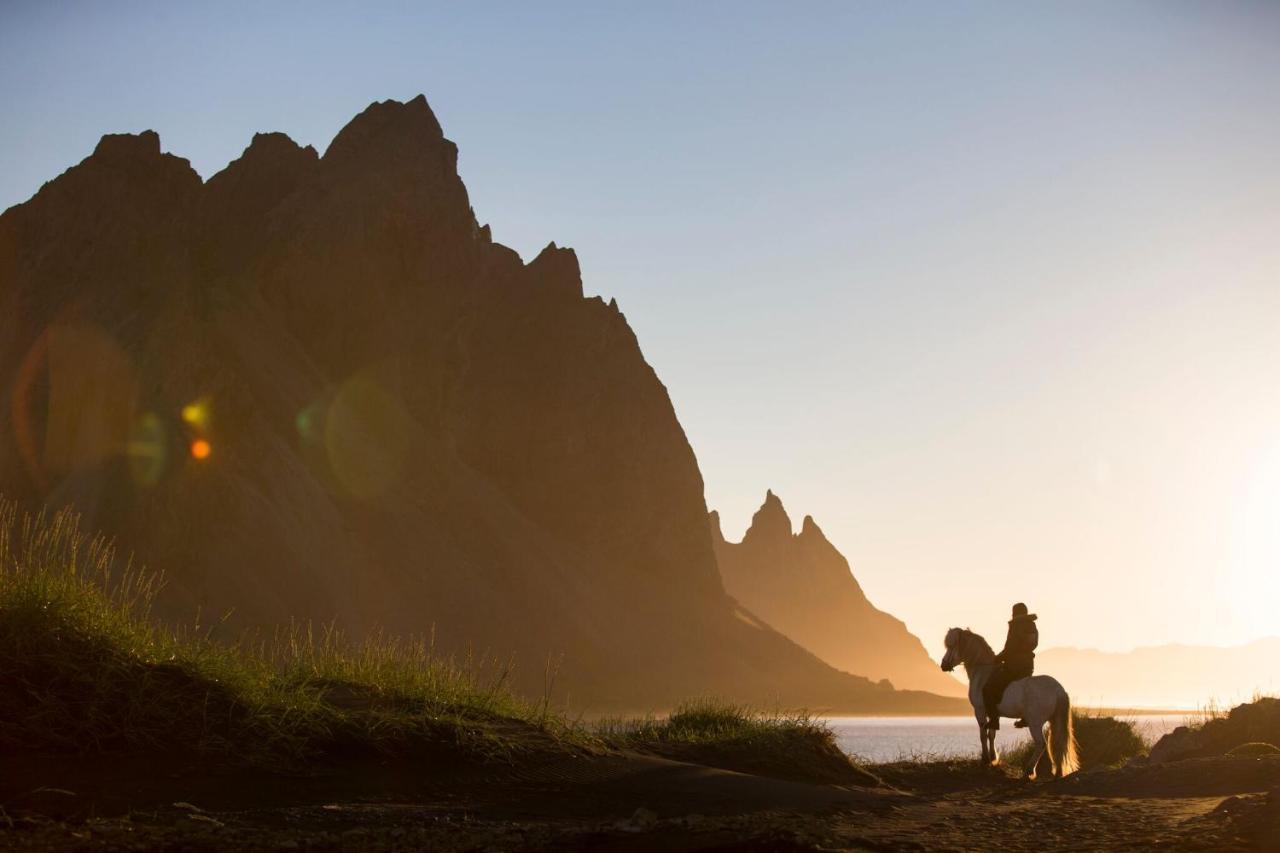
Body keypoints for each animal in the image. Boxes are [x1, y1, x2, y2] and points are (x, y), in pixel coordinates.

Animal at [942, 625, 1080, 778]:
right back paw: (1058, 772)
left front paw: (985, 759)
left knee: (1041, 744)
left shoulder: (980, 710)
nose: (943, 665)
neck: (983, 674)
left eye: (951, 645)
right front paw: (993, 759)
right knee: (1057, 742)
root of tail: (1058, 690)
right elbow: (991, 734)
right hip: (1054, 720)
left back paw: (1029, 770)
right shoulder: (994, 714)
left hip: (1035, 722)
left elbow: (983, 734)